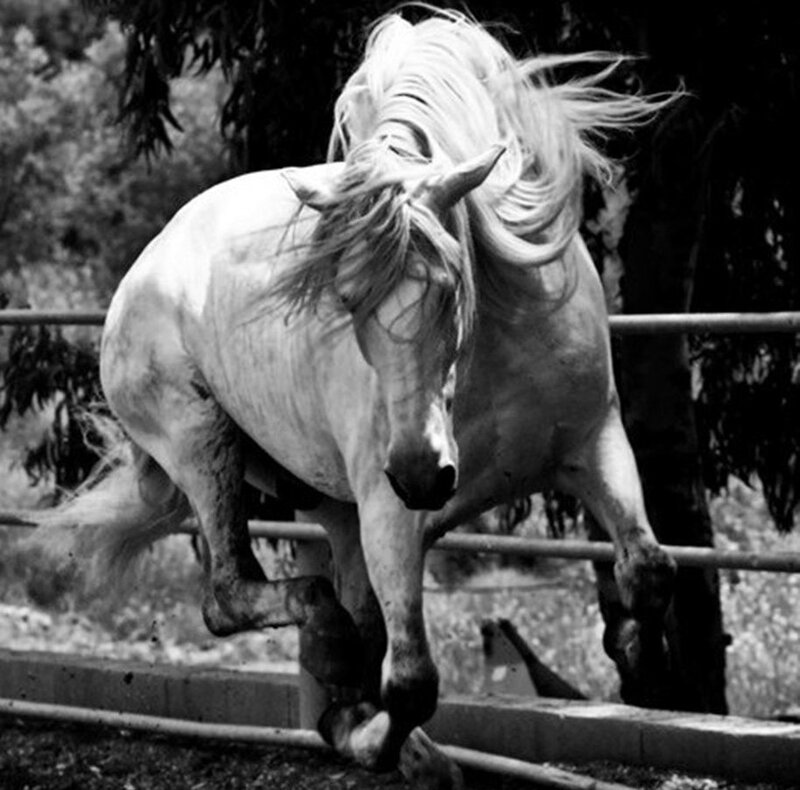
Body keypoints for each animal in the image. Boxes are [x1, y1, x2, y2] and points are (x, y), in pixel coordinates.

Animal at [20, 9, 677, 787]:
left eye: (449, 285)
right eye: (346, 297)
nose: (422, 474)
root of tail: (143, 268)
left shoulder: (594, 442)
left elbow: (648, 567)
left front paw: (638, 654)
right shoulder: (390, 511)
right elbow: (413, 680)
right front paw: (381, 743)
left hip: (330, 503)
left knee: (341, 614)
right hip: (202, 443)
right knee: (238, 599)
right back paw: (342, 674)